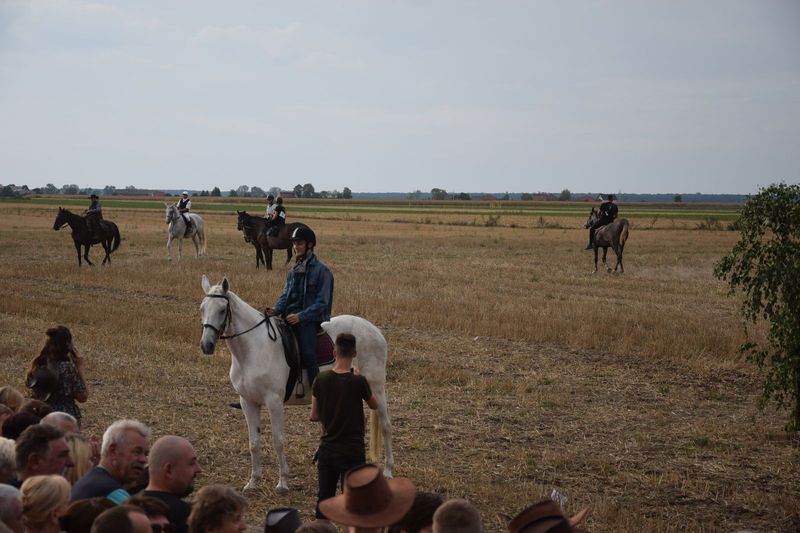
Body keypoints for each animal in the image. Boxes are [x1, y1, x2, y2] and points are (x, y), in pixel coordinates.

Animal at [197, 276, 390, 492]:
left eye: (222, 310)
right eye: (202, 308)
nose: (206, 345)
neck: (254, 349)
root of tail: (374, 330)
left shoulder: (274, 402)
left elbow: (278, 441)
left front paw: (282, 482)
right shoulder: (248, 402)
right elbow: (253, 443)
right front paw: (253, 481)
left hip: (376, 388)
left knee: (386, 426)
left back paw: (388, 471)